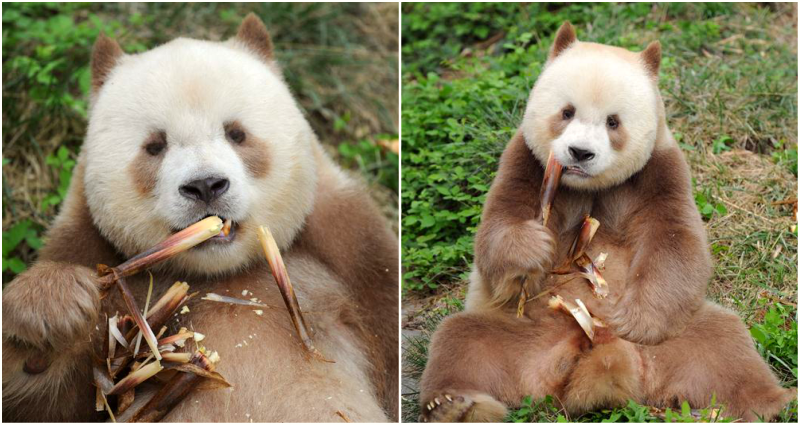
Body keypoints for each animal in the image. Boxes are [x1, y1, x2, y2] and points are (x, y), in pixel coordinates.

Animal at [2, 14, 398, 422]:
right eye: (155, 146)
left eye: (236, 133)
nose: (206, 186)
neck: (222, 274)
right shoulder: (88, 246)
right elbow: (56, 403)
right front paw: (52, 310)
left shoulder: (352, 251)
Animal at [418, 22, 795, 422]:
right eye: (567, 112)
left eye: (613, 122)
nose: (580, 152)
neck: (590, 186)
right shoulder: (527, 162)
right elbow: (496, 230)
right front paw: (532, 249)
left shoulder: (659, 170)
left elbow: (675, 242)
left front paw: (635, 319)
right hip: (519, 336)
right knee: (461, 342)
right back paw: (454, 404)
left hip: (676, 339)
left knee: (725, 344)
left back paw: (775, 402)